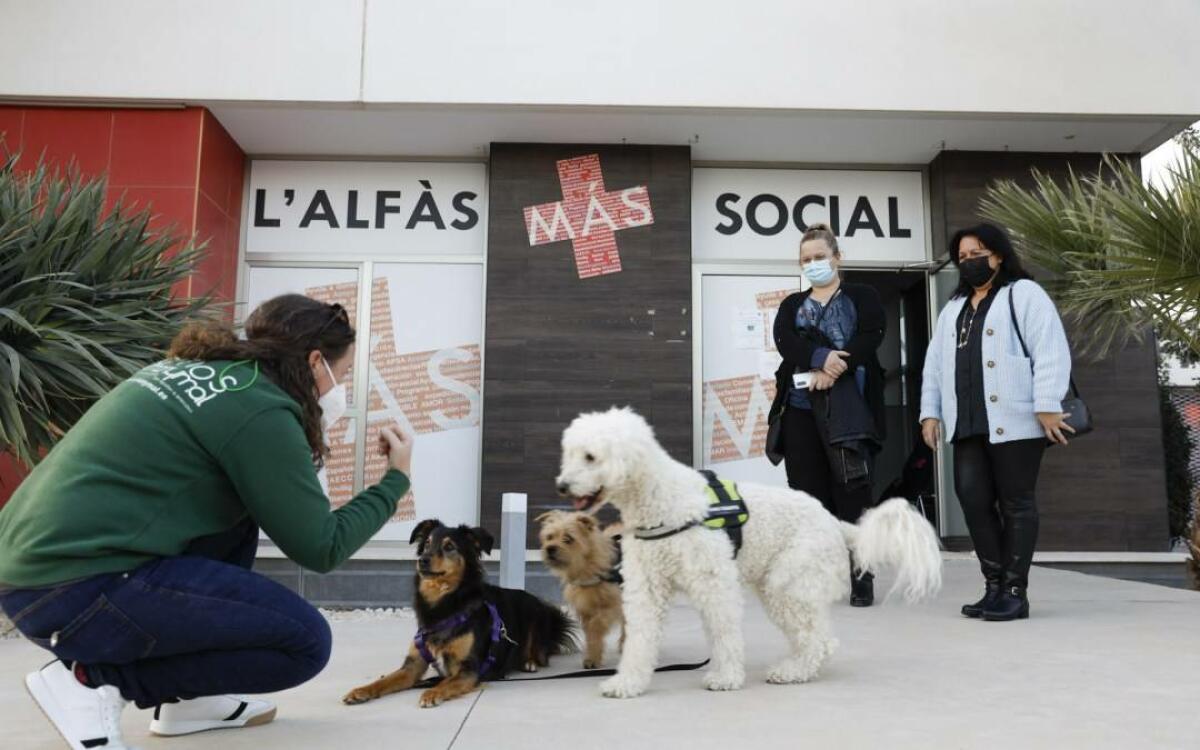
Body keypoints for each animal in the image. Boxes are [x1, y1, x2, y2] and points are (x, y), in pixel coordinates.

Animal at [343, 518, 576, 705]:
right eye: (426, 545)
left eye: (449, 547)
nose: (422, 560)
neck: (444, 603)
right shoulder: (412, 666)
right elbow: (386, 680)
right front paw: (361, 691)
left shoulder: (469, 669)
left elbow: (447, 681)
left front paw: (433, 692)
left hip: (536, 618)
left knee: (541, 652)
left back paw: (529, 662)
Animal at [537, 508, 624, 667]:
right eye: (549, 537)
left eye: (568, 538)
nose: (550, 548)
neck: (587, 567)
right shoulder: (585, 608)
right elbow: (590, 634)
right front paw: (592, 657)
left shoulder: (612, 605)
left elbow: (596, 626)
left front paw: (593, 657)